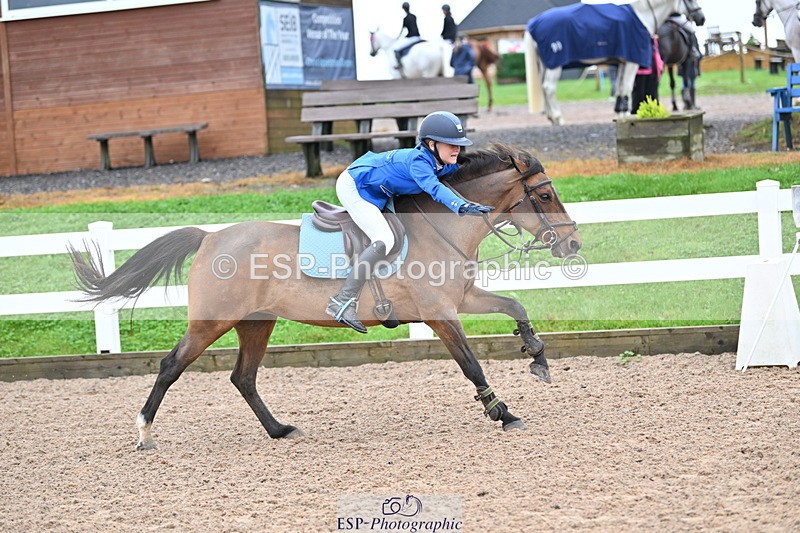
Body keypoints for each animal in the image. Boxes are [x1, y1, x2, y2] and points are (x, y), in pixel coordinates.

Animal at [69, 144, 582, 450]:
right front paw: (503, 412)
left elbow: (516, 306)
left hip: (257, 321)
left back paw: (279, 430)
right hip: (212, 321)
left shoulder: (464, 298)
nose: (573, 244)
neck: (443, 227)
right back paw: (144, 433)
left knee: (243, 378)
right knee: (171, 366)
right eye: (545, 195)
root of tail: (210, 237)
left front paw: (537, 357)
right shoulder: (440, 313)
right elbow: (472, 365)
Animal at [526, 0, 705, 125]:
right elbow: (627, 87)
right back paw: (558, 118)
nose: (701, 19)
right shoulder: (632, 62)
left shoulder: (622, 63)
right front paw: (625, 114)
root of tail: (534, 23)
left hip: (544, 65)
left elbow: (620, 88)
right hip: (554, 65)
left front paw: (620, 112)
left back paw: (551, 117)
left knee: (544, 89)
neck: (641, 16)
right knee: (549, 88)